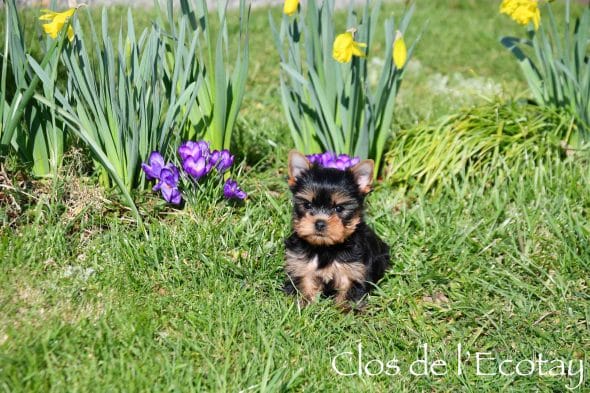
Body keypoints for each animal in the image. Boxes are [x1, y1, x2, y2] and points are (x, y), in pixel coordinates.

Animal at [284, 149, 390, 306]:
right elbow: (305, 286)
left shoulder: (352, 271)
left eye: (339, 208)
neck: (325, 248)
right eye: (307, 205)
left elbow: (348, 295)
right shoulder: (302, 266)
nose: (320, 223)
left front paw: (344, 311)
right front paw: (306, 306)